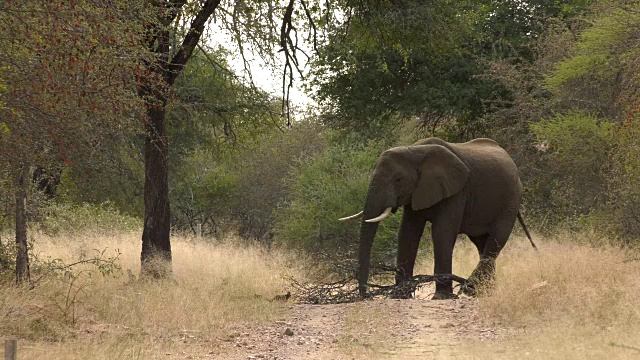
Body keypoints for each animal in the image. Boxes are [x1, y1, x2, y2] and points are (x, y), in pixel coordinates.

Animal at [340, 136, 536, 300]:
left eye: (398, 180)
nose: (365, 297)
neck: (414, 151)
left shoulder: (457, 191)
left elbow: (442, 232)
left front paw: (441, 297)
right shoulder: (416, 192)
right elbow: (408, 233)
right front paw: (400, 296)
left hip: (511, 200)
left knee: (496, 240)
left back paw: (469, 289)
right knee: (483, 244)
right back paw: (484, 293)